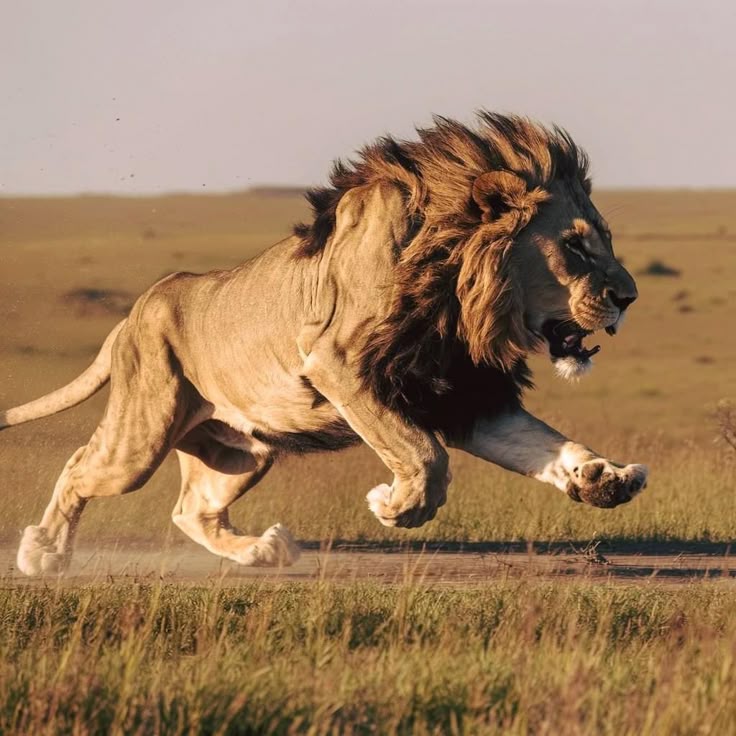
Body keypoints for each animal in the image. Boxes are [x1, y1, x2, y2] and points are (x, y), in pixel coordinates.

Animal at [2, 112, 647, 576]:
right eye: (575, 246)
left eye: (604, 240)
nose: (630, 297)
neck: (458, 289)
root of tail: (145, 302)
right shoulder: (340, 365)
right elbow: (424, 455)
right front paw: (396, 504)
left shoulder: (467, 395)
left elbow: (546, 444)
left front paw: (603, 477)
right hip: (143, 435)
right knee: (81, 467)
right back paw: (43, 554)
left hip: (242, 449)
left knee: (191, 509)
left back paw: (262, 552)